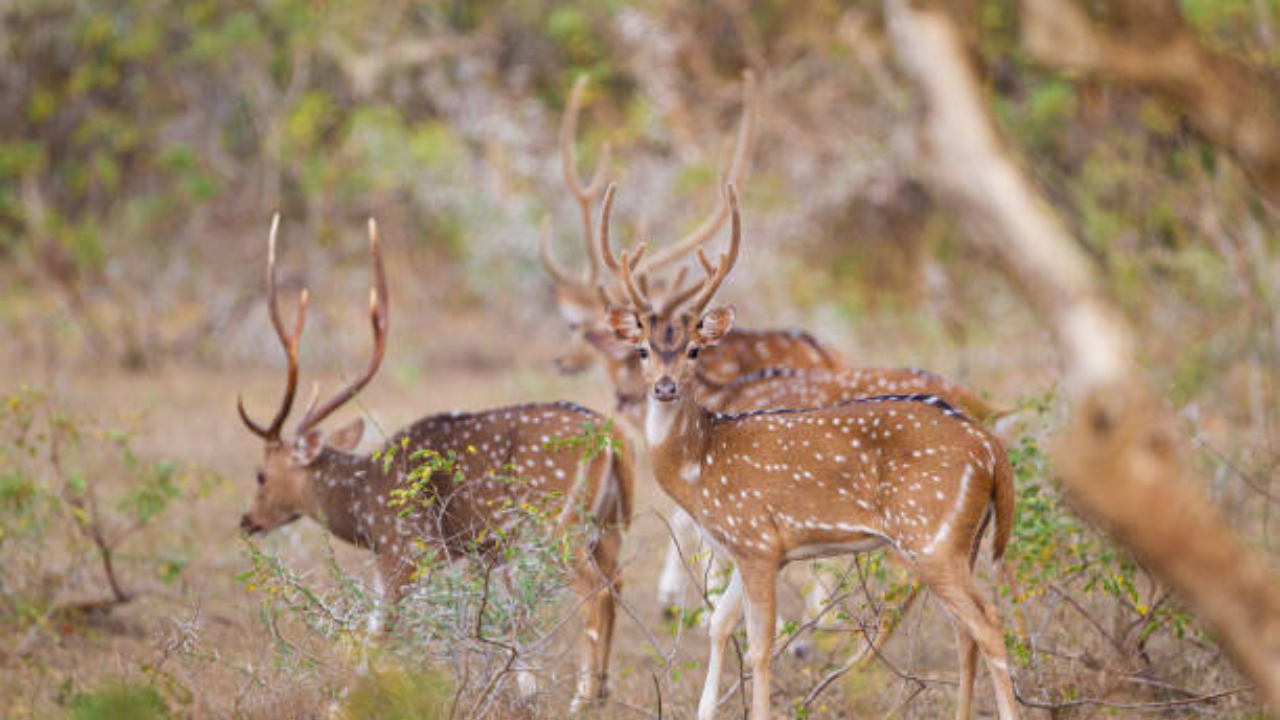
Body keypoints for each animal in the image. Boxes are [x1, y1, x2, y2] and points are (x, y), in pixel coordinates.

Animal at [236, 212, 634, 707]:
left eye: (260, 475)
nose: (247, 520)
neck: (362, 505)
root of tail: (613, 438)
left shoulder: (404, 548)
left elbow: (379, 632)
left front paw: (344, 701)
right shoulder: (484, 552)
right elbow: (508, 621)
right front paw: (521, 693)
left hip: (557, 524)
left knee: (595, 592)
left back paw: (581, 699)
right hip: (609, 526)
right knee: (617, 584)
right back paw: (602, 692)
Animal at [596, 183, 1018, 717]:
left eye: (694, 349)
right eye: (643, 349)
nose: (665, 387)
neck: (699, 467)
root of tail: (991, 446)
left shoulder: (757, 540)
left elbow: (759, 645)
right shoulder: (743, 548)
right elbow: (719, 625)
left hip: (931, 536)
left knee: (986, 622)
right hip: (964, 539)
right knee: (968, 630)